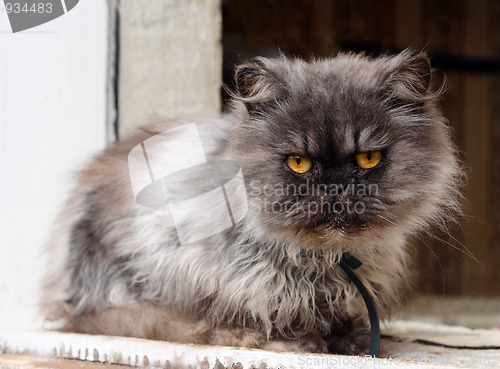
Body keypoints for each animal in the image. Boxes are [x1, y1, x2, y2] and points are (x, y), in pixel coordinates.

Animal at [41, 49, 462, 354]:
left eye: (368, 159)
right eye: (298, 163)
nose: (333, 187)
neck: (324, 260)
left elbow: (340, 313)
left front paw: (350, 340)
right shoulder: (205, 272)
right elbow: (257, 315)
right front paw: (298, 341)